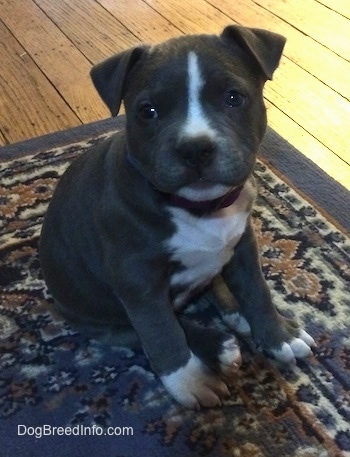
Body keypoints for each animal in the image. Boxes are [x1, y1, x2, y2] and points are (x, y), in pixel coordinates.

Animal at [39, 25, 316, 408]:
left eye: (234, 98)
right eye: (148, 111)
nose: (195, 148)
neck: (200, 210)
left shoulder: (244, 244)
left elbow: (257, 292)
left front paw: (277, 336)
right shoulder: (137, 281)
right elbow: (162, 332)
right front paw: (189, 381)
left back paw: (236, 315)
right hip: (92, 316)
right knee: (136, 332)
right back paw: (216, 345)